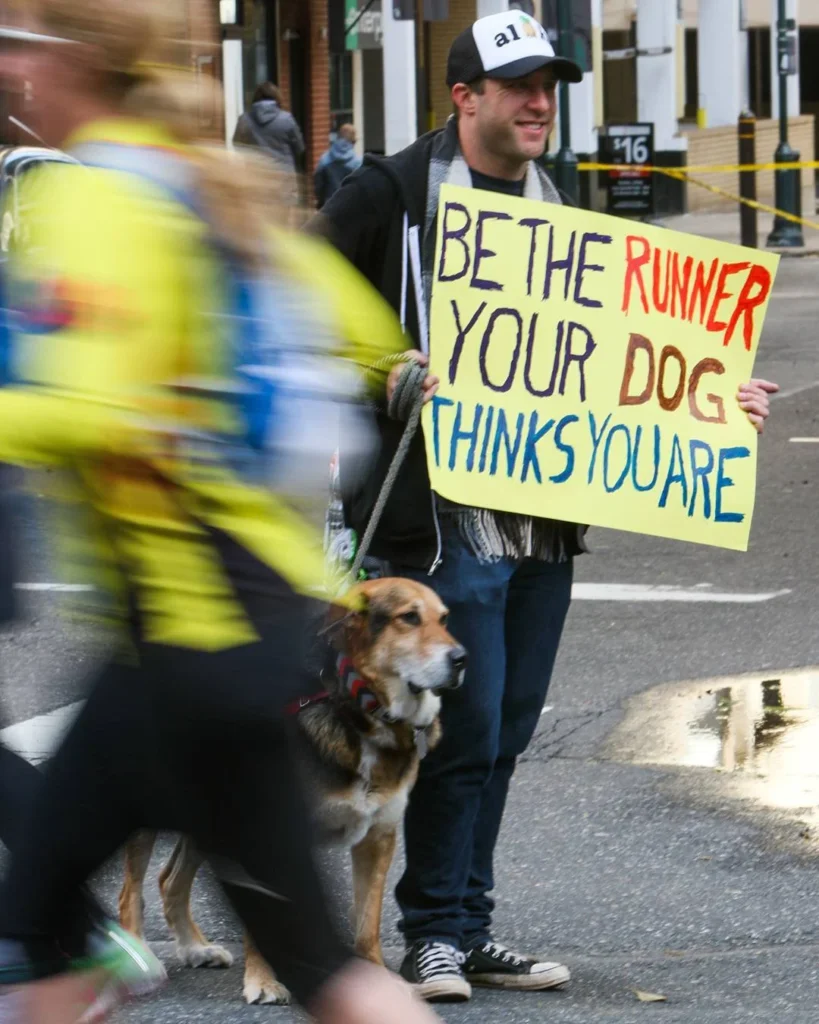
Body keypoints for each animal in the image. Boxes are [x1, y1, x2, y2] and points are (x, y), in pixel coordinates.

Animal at [119, 581, 470, 1003]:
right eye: (410, 618)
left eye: (445, 618)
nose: (462, 659)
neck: (356, 704)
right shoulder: (268, 832)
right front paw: (263, 981)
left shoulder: (378, 837)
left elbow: (367, 925)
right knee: (131, 891)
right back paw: (138, 961)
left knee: (169, 880)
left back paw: (194, 948)